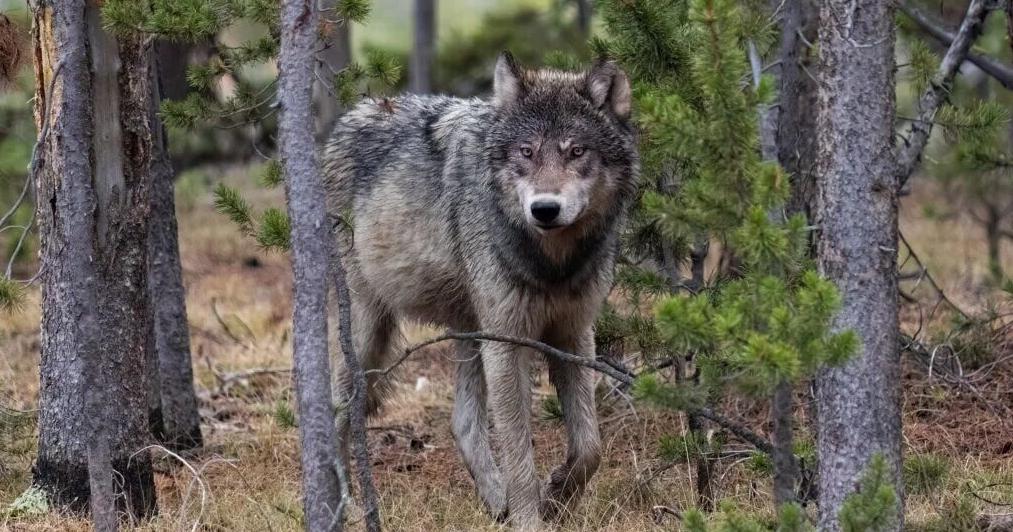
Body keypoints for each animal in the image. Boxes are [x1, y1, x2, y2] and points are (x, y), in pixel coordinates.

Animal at [322, 52, 638, 528]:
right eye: (527, 152)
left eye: (576, 151)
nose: (545, 209)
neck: (552, 264)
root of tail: (350, 116)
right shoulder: (507, 344)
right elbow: (519, 452)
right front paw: (530, 519)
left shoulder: (574, 334)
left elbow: (589, 447)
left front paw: (558, 497)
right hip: (367, 334)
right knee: (336, 413)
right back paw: (347, 508)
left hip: (470, 331)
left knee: (463, 422)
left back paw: (495, 499)